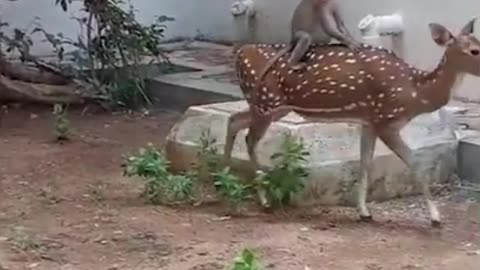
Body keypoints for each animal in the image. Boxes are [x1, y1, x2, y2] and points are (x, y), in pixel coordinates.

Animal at [223, 17, 480, 227]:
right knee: (250, 137)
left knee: (234, 120)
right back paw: (262, 199)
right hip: (266, 103)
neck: (416, 92)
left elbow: (365, 162)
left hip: (267, 107)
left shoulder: (369, 121)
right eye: (474, 50)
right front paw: (436, 218)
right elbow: (415, 163)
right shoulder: (385, 120)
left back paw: (224, 179)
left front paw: (364, 212)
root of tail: (241, 52)